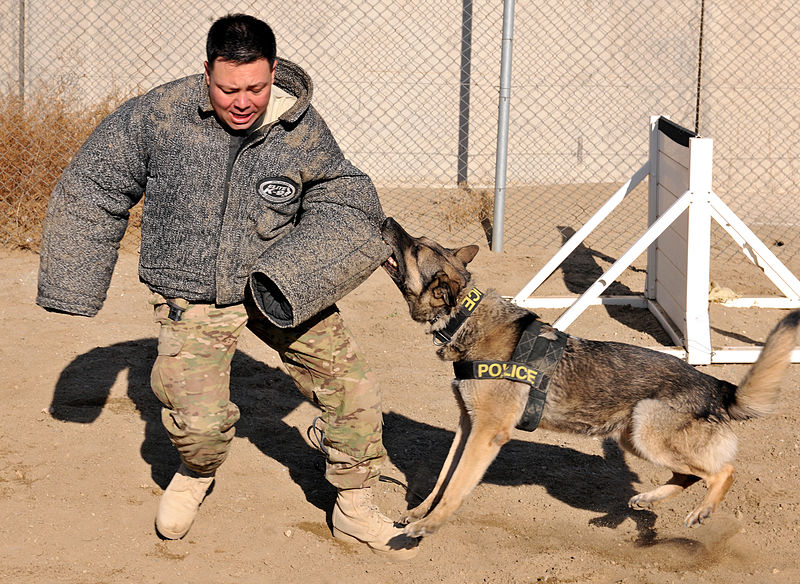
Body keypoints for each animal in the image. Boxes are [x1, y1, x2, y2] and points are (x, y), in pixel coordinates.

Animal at [378, 216, 796, 540]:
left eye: (415, 248)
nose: (386, 221)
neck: (464, 316)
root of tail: (718, 387)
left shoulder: (486, 433)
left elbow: (457, 484)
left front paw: (429, 526)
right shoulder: (468, 425)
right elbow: (443, 477)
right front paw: (419, 513)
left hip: (648, 433)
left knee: (722, 471)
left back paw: (702, 510)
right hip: (634, 439)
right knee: (688, 475)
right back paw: (645, 502)